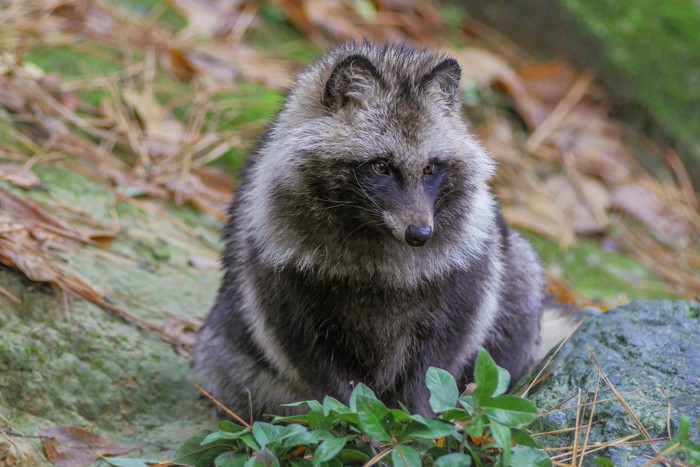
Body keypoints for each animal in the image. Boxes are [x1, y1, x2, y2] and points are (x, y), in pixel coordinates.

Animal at [196, 41, 548, 420]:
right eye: (381, 167)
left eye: (429, 168)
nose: (420, 234)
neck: (376, 233)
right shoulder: (277, 278)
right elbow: (314, 362)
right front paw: (350, 421)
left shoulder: (464, 276)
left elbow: (436, 361)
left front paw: (418, 422)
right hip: (225, 349)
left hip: (518, 274)